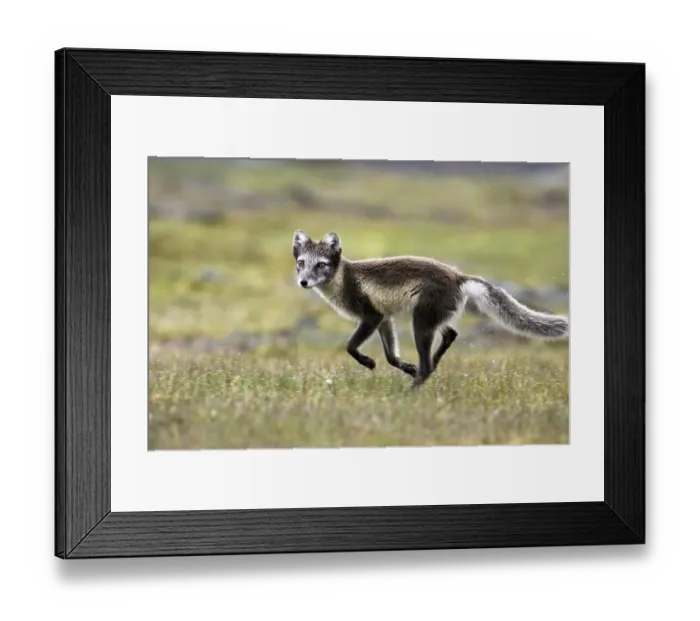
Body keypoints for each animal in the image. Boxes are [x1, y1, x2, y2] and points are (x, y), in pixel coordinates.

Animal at [293, 229, 569, 388]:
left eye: (321, 265)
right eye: (301, 263)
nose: (303, 282)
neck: (344, 279)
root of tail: (459, 276)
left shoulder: (371, 316)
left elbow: (350, 346)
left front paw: (368, 362)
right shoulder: (385, 318)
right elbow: (391, 356)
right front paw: (406, 367)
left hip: (421, 323)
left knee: (428, 361)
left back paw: (410, 392)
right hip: (435, 318)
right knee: (450, 335)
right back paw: (427, 369)